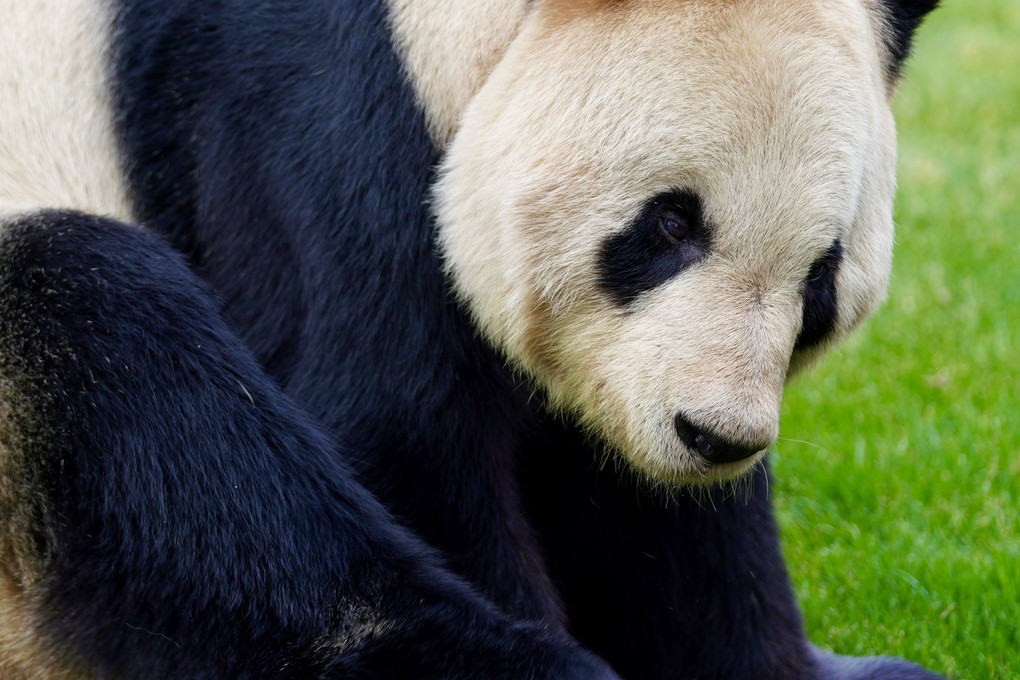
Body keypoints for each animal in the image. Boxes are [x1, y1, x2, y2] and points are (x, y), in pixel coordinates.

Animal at [0, 0, 938, 676]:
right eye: (672, 222)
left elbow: (663, 526)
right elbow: (397, 434)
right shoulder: (305, 133)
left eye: (822, 279)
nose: (714, 436)